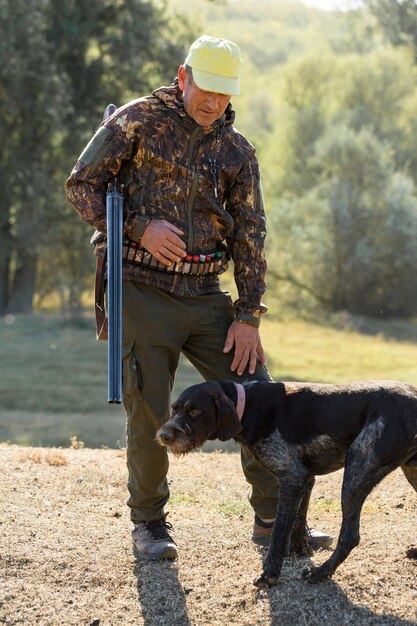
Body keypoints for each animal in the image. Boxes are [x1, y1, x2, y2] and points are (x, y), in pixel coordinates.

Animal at [156, 380, 416, 584]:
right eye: (174, 409)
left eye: (194, 412)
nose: (163, 436)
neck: (248, 407)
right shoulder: (305, 478)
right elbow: (298, 520)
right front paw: (298, 550)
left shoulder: (292, 476)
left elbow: (280, 530)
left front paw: (270, 573)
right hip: (409, 471)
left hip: (356, 471)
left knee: (350, 536)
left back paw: (321, 573)